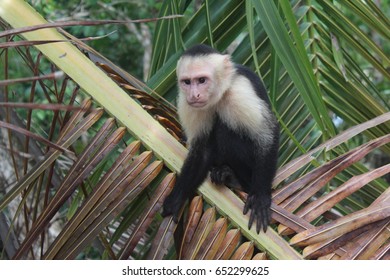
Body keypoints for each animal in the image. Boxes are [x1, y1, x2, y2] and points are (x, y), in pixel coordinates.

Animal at [162, 43, 280, 232]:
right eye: (187, 82)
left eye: (202, 80)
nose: (194, 95)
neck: (220, 93)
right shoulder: (187, 104)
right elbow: (201, 149)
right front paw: (177, 198)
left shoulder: (239, 92)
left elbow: (266, 136)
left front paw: (260, 198)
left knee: (225, 130)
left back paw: (238, 181)